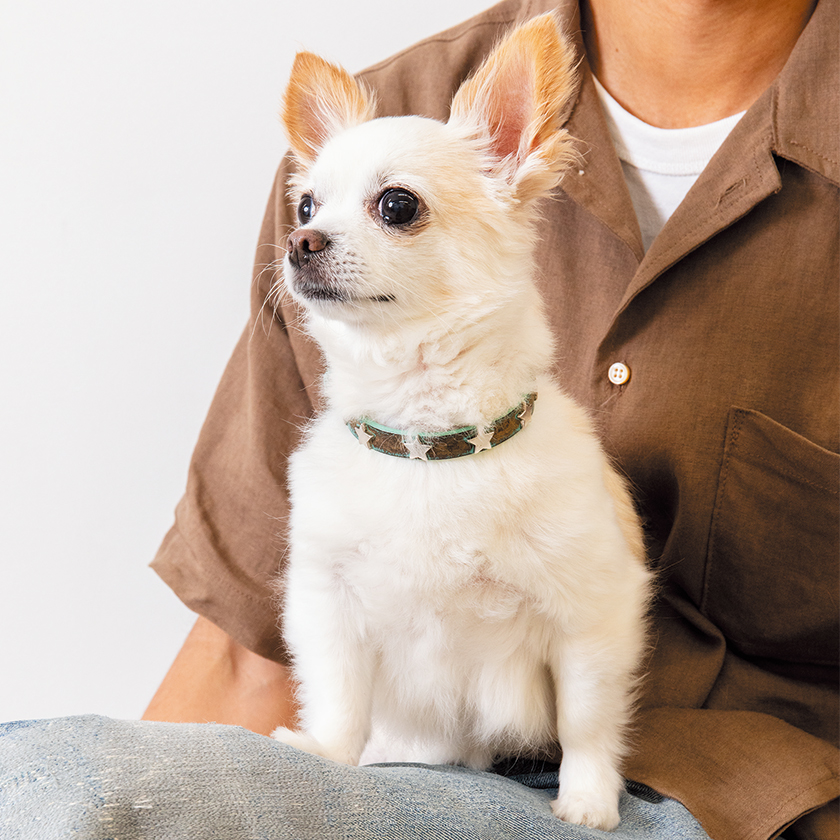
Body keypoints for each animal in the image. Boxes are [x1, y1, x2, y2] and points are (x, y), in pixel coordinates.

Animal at [272, 14, 652, 832]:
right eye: (307, 207)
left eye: (396, 206)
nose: (298, 244)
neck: (427, 447)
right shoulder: (328, 602)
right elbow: (339, 693)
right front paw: (324, 752)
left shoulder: (592, 615)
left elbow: (586, 719)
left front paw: (588, 799)